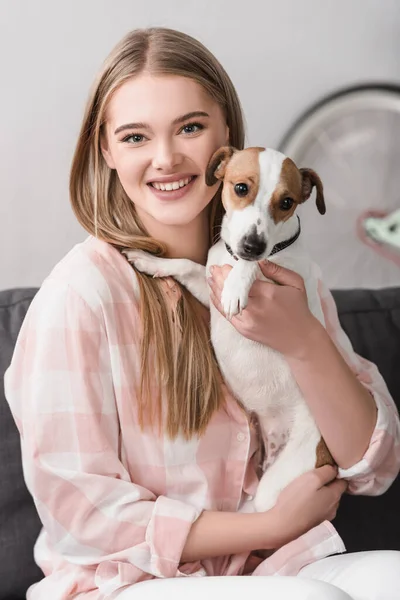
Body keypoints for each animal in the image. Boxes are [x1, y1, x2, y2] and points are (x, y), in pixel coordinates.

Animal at [124, 146, 334, 510]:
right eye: (240, 188)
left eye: (287, 202)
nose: (252, 245)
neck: (232, 259)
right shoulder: (207, 287)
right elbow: (185, 265)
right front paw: (152, 261)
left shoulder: (283, 282)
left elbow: (256, 268)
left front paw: (239, 283)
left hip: (275, 487)